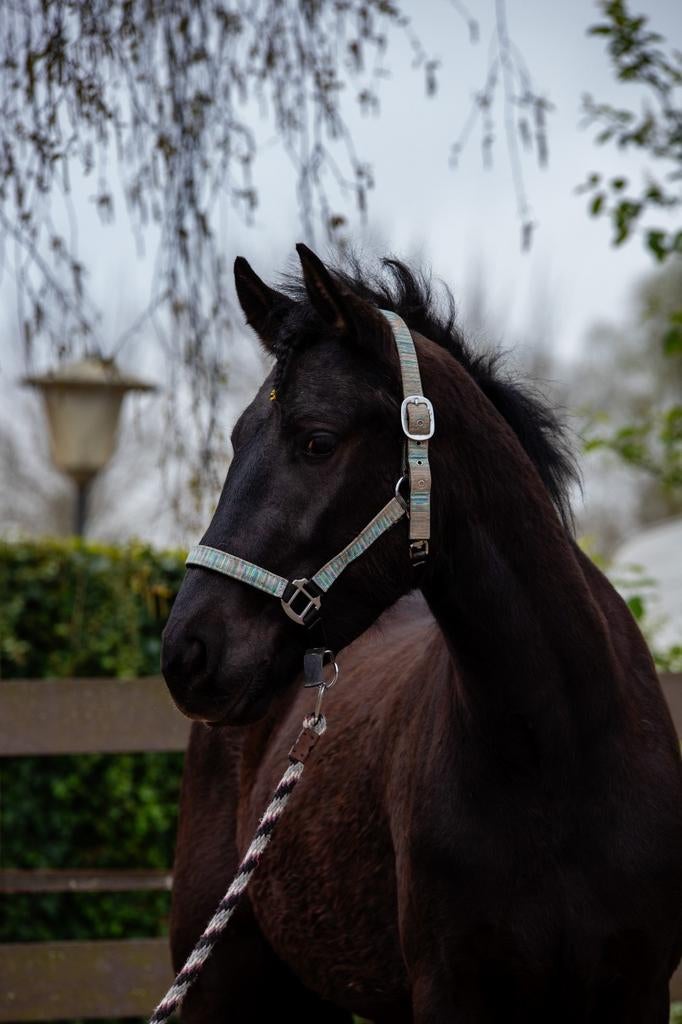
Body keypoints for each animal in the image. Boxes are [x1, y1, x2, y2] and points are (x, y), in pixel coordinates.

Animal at [161, 244, 682, 1023]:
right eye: (234, 439)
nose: (187, 653)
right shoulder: (451, 994)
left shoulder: (639, 993)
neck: (560, 753)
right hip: (223, 988)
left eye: (317, 441)